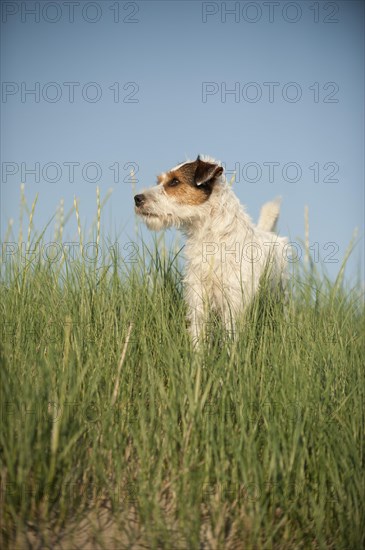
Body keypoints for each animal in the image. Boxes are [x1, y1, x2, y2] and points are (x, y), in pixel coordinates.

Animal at [134, 156, 288, 344]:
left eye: (175, 181)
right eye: (159, 181)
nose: (137, 198)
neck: (211, 238)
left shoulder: (234, 301)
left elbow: (231, 336)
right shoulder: (197, 298)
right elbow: (198, 333)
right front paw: (196, 353)